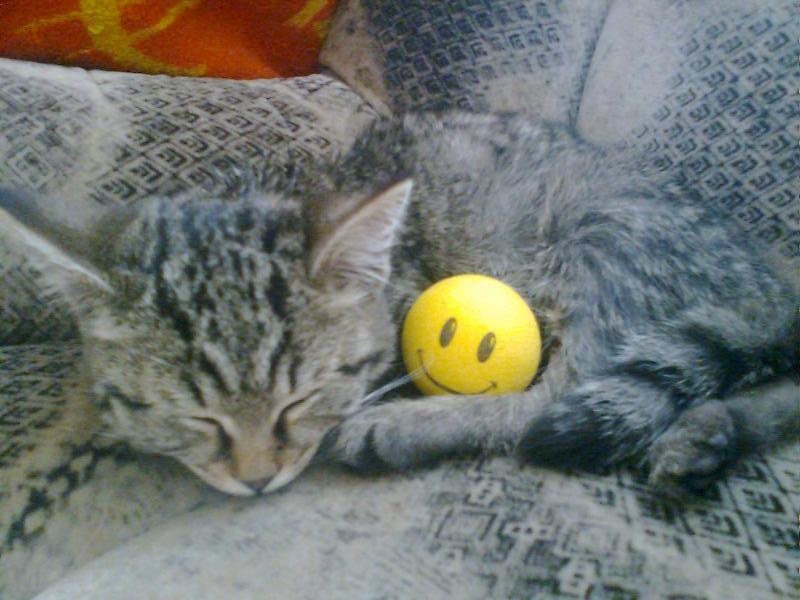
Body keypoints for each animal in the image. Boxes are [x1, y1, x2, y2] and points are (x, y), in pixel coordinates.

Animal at [0, 112, 796, 497]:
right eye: (197, 417)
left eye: (299, 402)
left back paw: (404, 429)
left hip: (607, 236)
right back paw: (711, 433)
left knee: (561, 397)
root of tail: (773, 273)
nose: (257, 480)